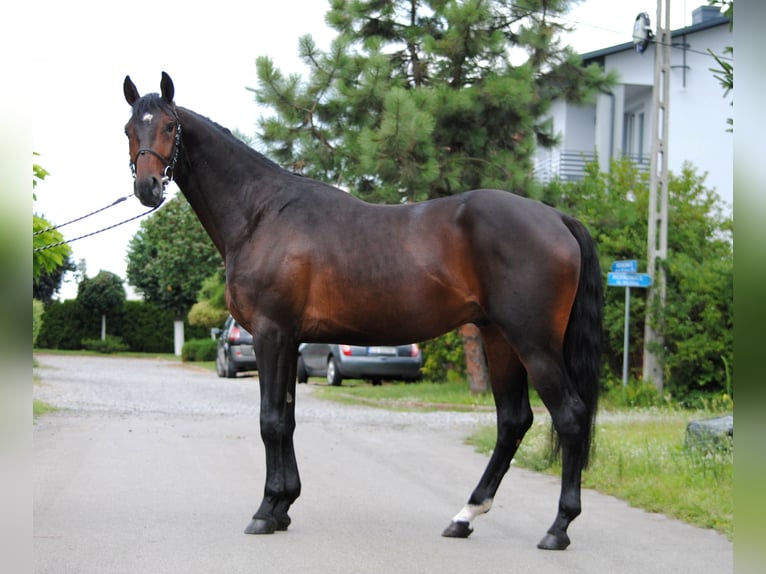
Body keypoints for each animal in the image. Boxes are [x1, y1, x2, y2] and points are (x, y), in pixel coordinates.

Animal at [123, 73, 604, 552]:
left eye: (169, 126)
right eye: (129, 129)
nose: (148, 187)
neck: (262, 213)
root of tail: (559, 219)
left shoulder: (270, 334)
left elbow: (271, 420)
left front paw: (265, 511)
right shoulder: (291, 340)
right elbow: (288, 419)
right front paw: (283, 505)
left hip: (533, 343)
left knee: (569, 416)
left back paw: (558, 527)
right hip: (498, 337)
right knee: (513, 421)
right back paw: (465, 516)